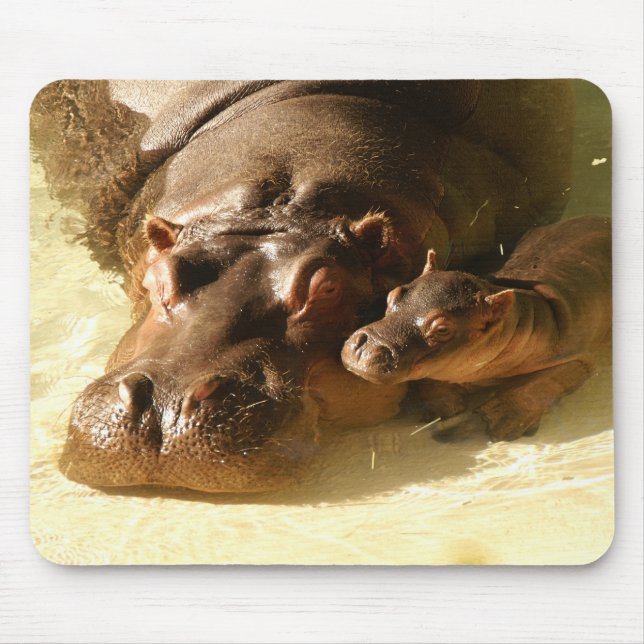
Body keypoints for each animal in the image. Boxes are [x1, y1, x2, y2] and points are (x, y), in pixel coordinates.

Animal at [342, 216, 612, 441]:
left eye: (442, 330)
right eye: (394, 294)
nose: (366, 347)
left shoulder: (577, 357)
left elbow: (540, 383)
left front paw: (502, 420)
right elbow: (430, 381)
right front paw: (445, 412)